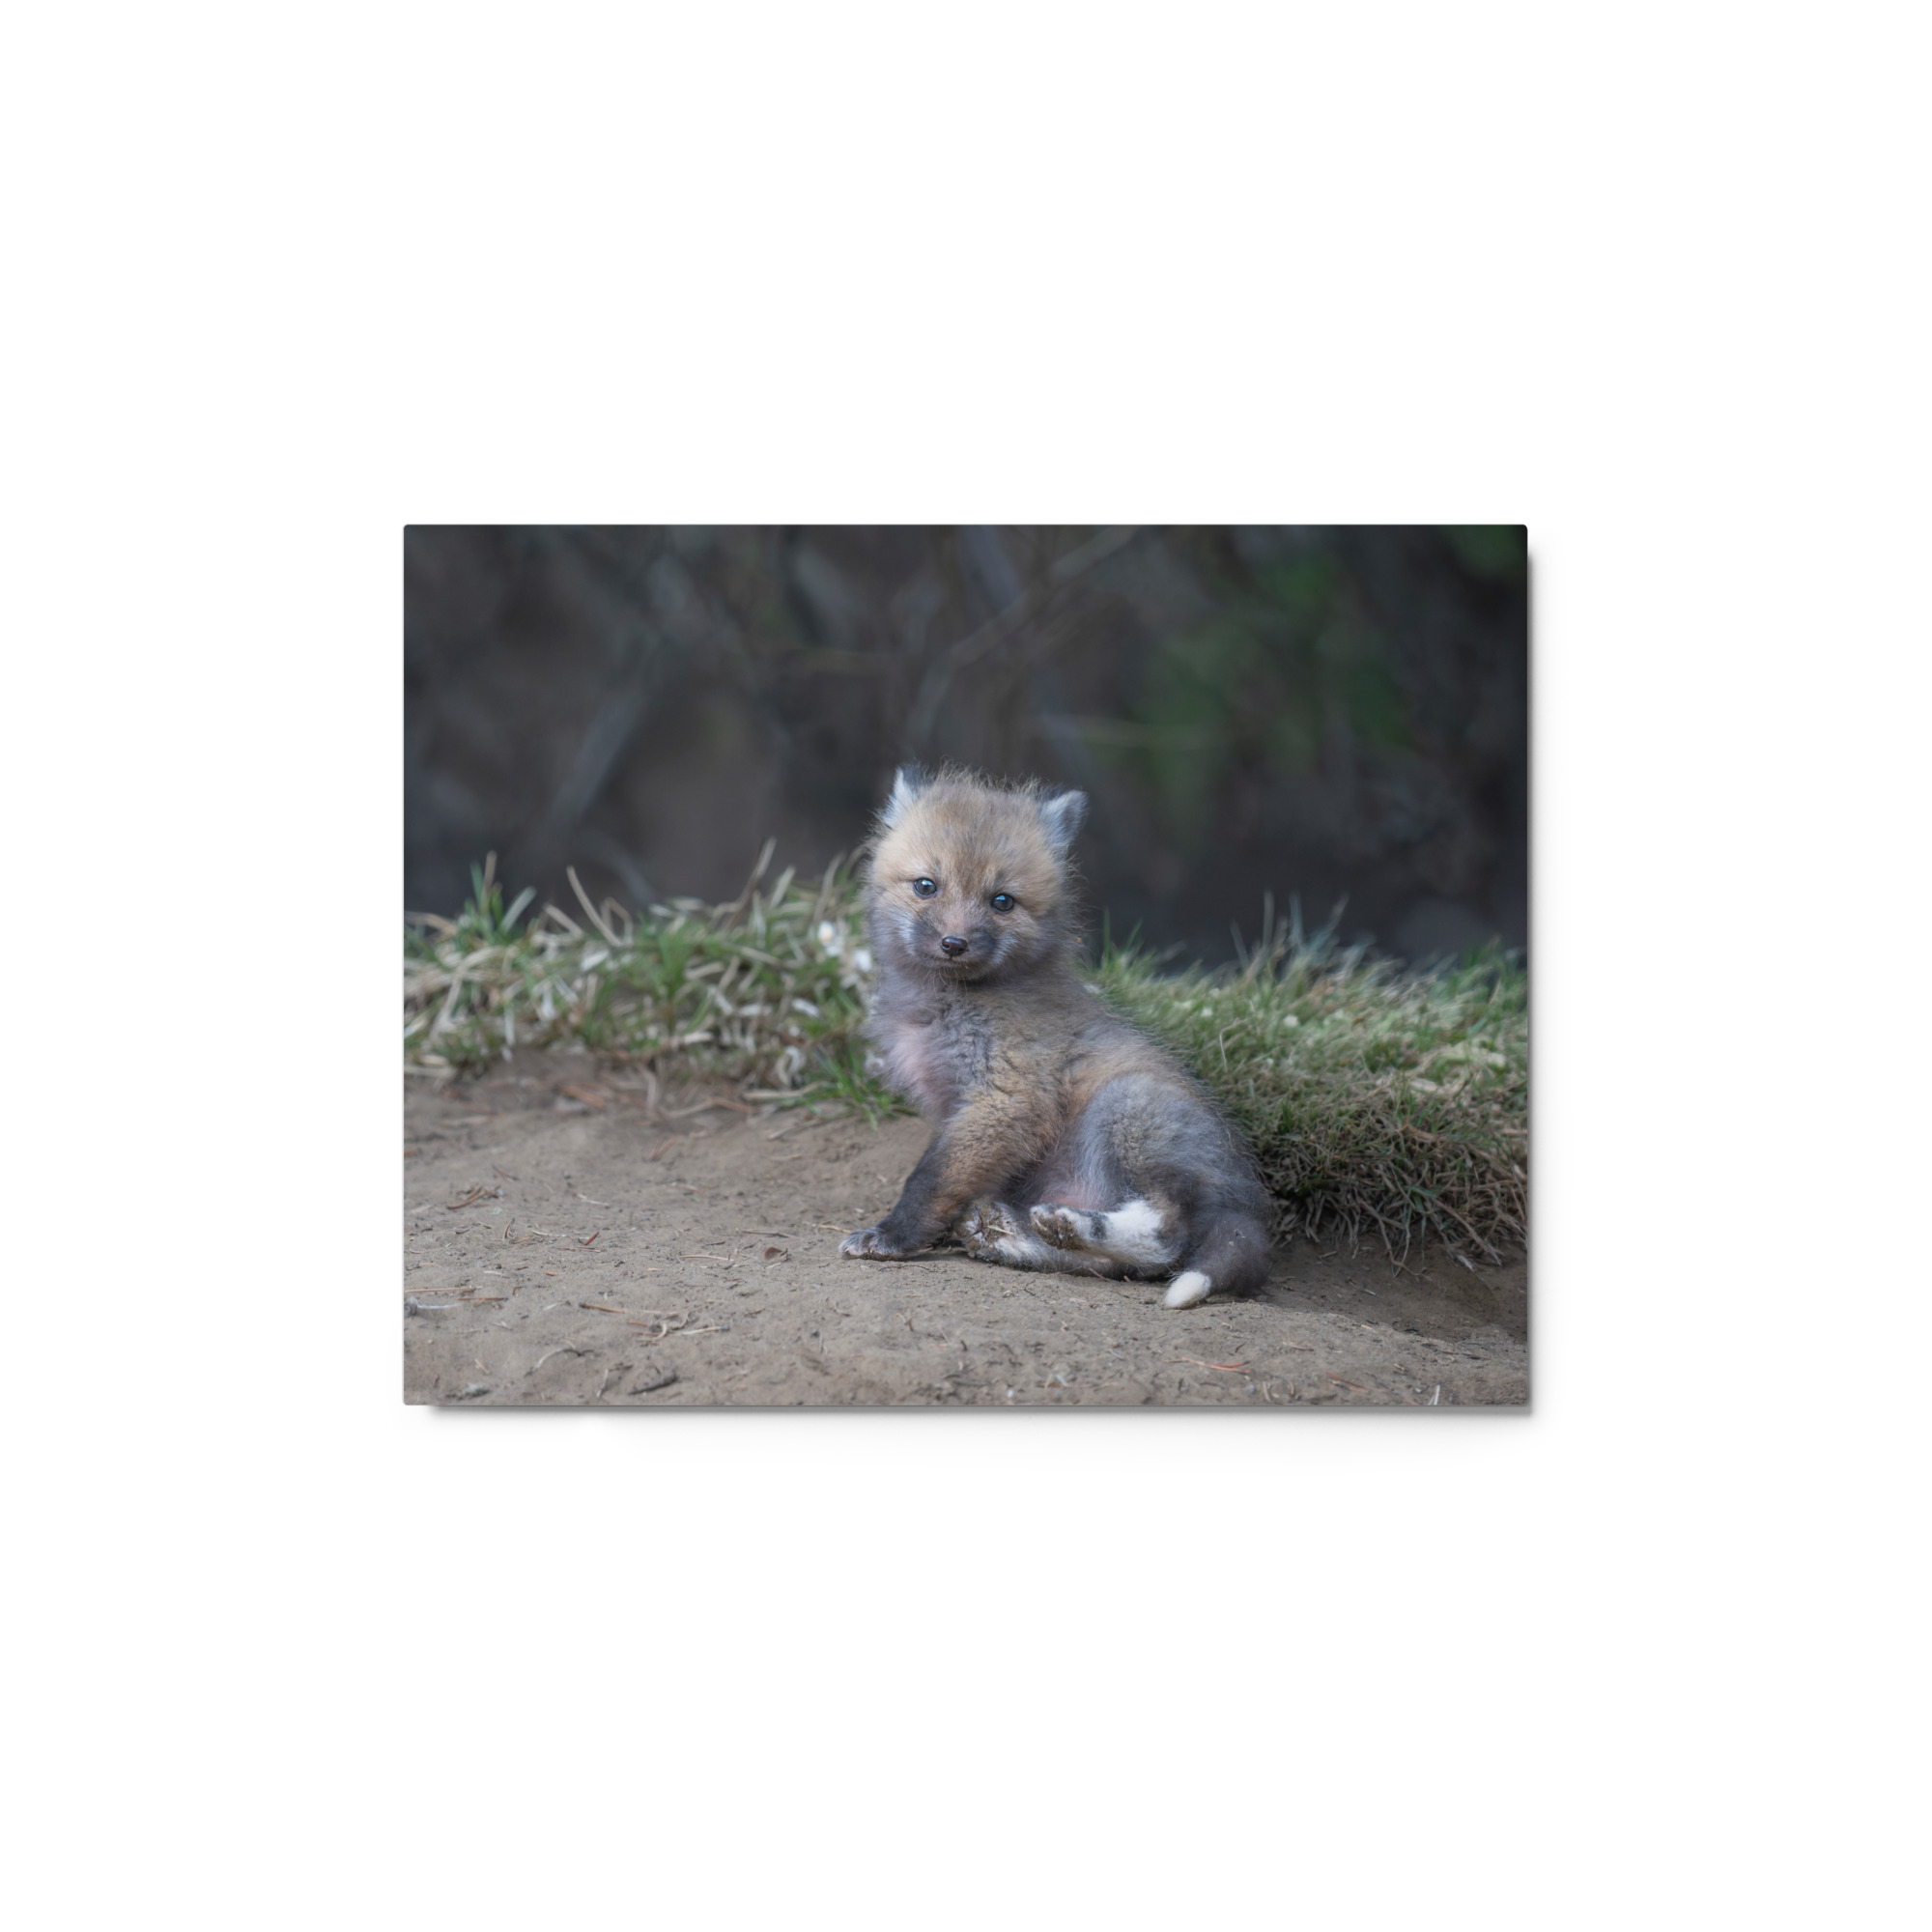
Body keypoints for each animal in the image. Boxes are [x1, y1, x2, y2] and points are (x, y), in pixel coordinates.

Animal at [838, 766, 1273, 1307]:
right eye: (926, 886)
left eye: (1002, 901)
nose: (954, 943)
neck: (946, 1006)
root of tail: (1246, 1202)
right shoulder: (961, 1109)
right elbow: (951, 1179)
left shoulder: (1007, 1097)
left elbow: (930, 1179)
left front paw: (893, 1236)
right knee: (1115, 1266)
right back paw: (1012, 1236)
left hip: (1126, 1108)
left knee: (1166, 1238)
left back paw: (1068, 1225)